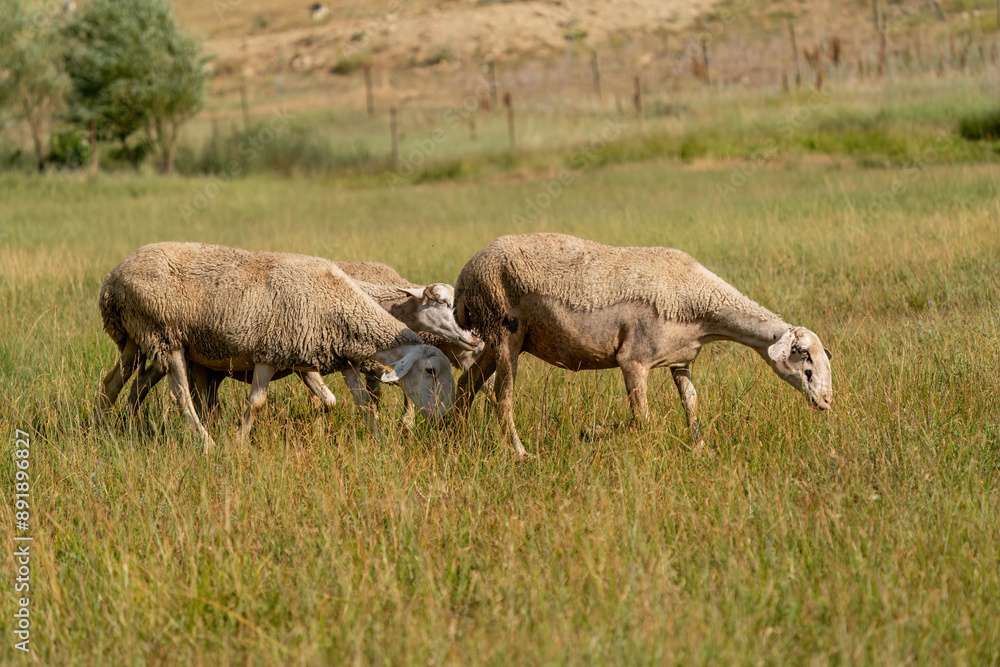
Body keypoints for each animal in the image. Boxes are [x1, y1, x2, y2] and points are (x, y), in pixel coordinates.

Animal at [95, 243, 455, 450]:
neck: (340, 301)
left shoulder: (338, 358)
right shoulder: (270, 353)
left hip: (136, 335)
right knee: (180, 393)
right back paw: (206, 441)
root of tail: (114, 276)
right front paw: (240, 444)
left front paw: (378, 440)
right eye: (431, 371)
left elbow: (360, 402)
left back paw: (105, 427)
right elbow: (256, 403)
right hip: (163, 335)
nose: (445, 417)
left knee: (114, 381)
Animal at [453, 233, 833, 458]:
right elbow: (643, 420)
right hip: (506, 334)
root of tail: (463, 278)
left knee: (465, 385)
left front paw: (700, 448)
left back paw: (450, 435)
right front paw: (591, 433)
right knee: (502, 401)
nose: (827, 402)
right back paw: (521, 453)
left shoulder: (681, 361)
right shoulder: (633, 361)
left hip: (494, 339)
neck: (700, 306)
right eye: (805, 360)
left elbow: (691, 403)